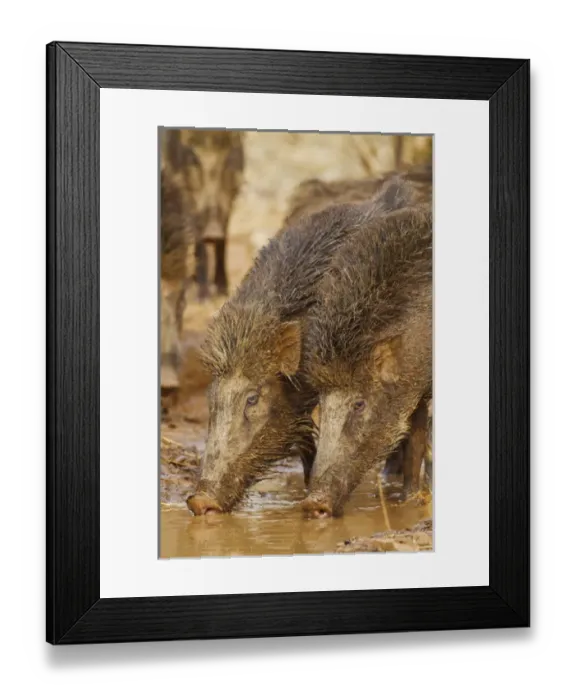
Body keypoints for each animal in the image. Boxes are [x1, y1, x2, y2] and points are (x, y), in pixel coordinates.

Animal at [163, 128, 244, 299]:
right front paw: (202, 298)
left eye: (226, 158)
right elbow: (200, 244)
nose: (213, 231)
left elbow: (223, 243)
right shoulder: (186, 194)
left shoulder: (231, 194)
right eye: (194, 159)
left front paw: (223, 292)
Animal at [301, 202, 433, 518]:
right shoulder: (413, 391)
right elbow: (413, 441)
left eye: (359, 404)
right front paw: (407, 498)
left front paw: (415, 501)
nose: (312, 503)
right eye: (321, 405)